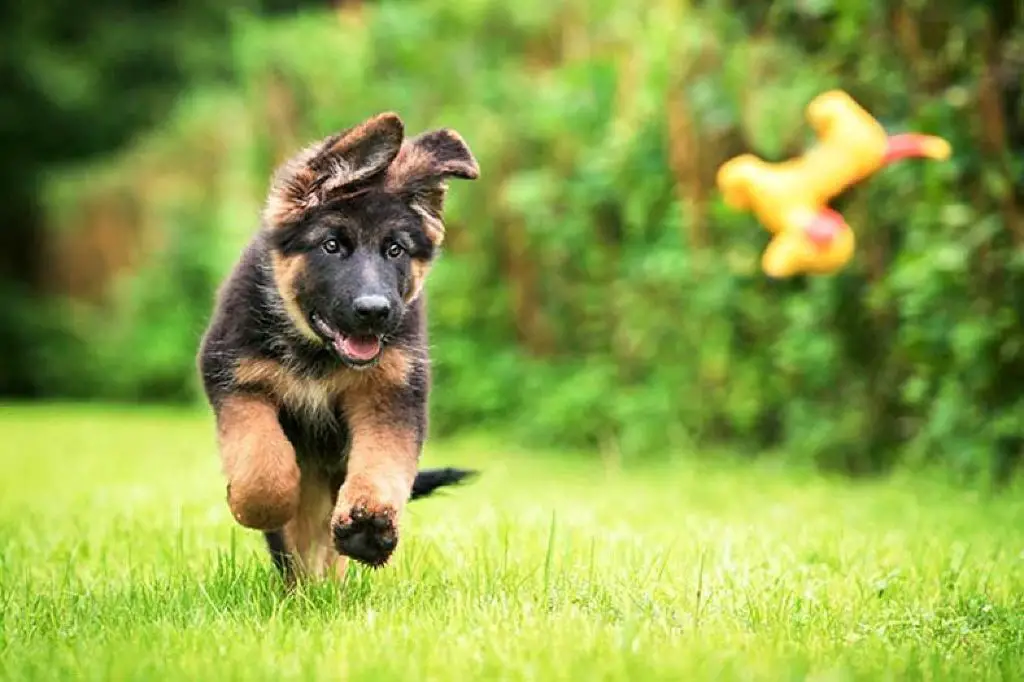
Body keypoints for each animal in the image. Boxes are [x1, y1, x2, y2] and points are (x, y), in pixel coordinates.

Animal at [198, 111, 479, 577]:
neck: (318, 354)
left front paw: (369, 525)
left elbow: (382, 462)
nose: (375, 311)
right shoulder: (236, 380)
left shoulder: (391, 394)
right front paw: (258, 505)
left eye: (395, 250)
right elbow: (261, 465)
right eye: (332, 246)